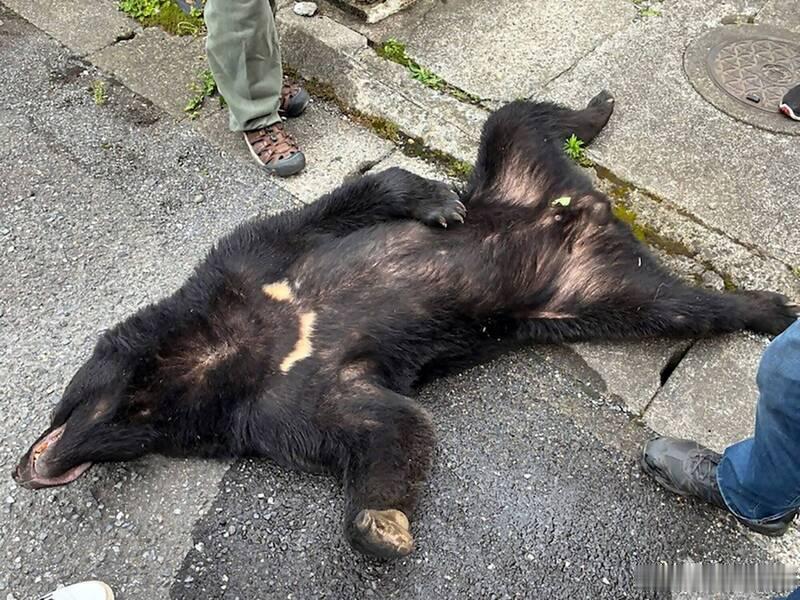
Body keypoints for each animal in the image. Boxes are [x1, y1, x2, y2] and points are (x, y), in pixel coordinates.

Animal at [13, 92, 797, 559]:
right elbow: (387, 426)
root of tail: (585, 207)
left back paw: (598, 110)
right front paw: (382, 527)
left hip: (512, 173)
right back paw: (765, 306)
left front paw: (436, 205)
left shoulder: (247, 265)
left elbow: (344, 202)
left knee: (516, 116)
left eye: (65, 403)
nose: (30, 468)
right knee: (679, 304)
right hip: (594, 292)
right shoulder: (273, 407)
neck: (220, 355)